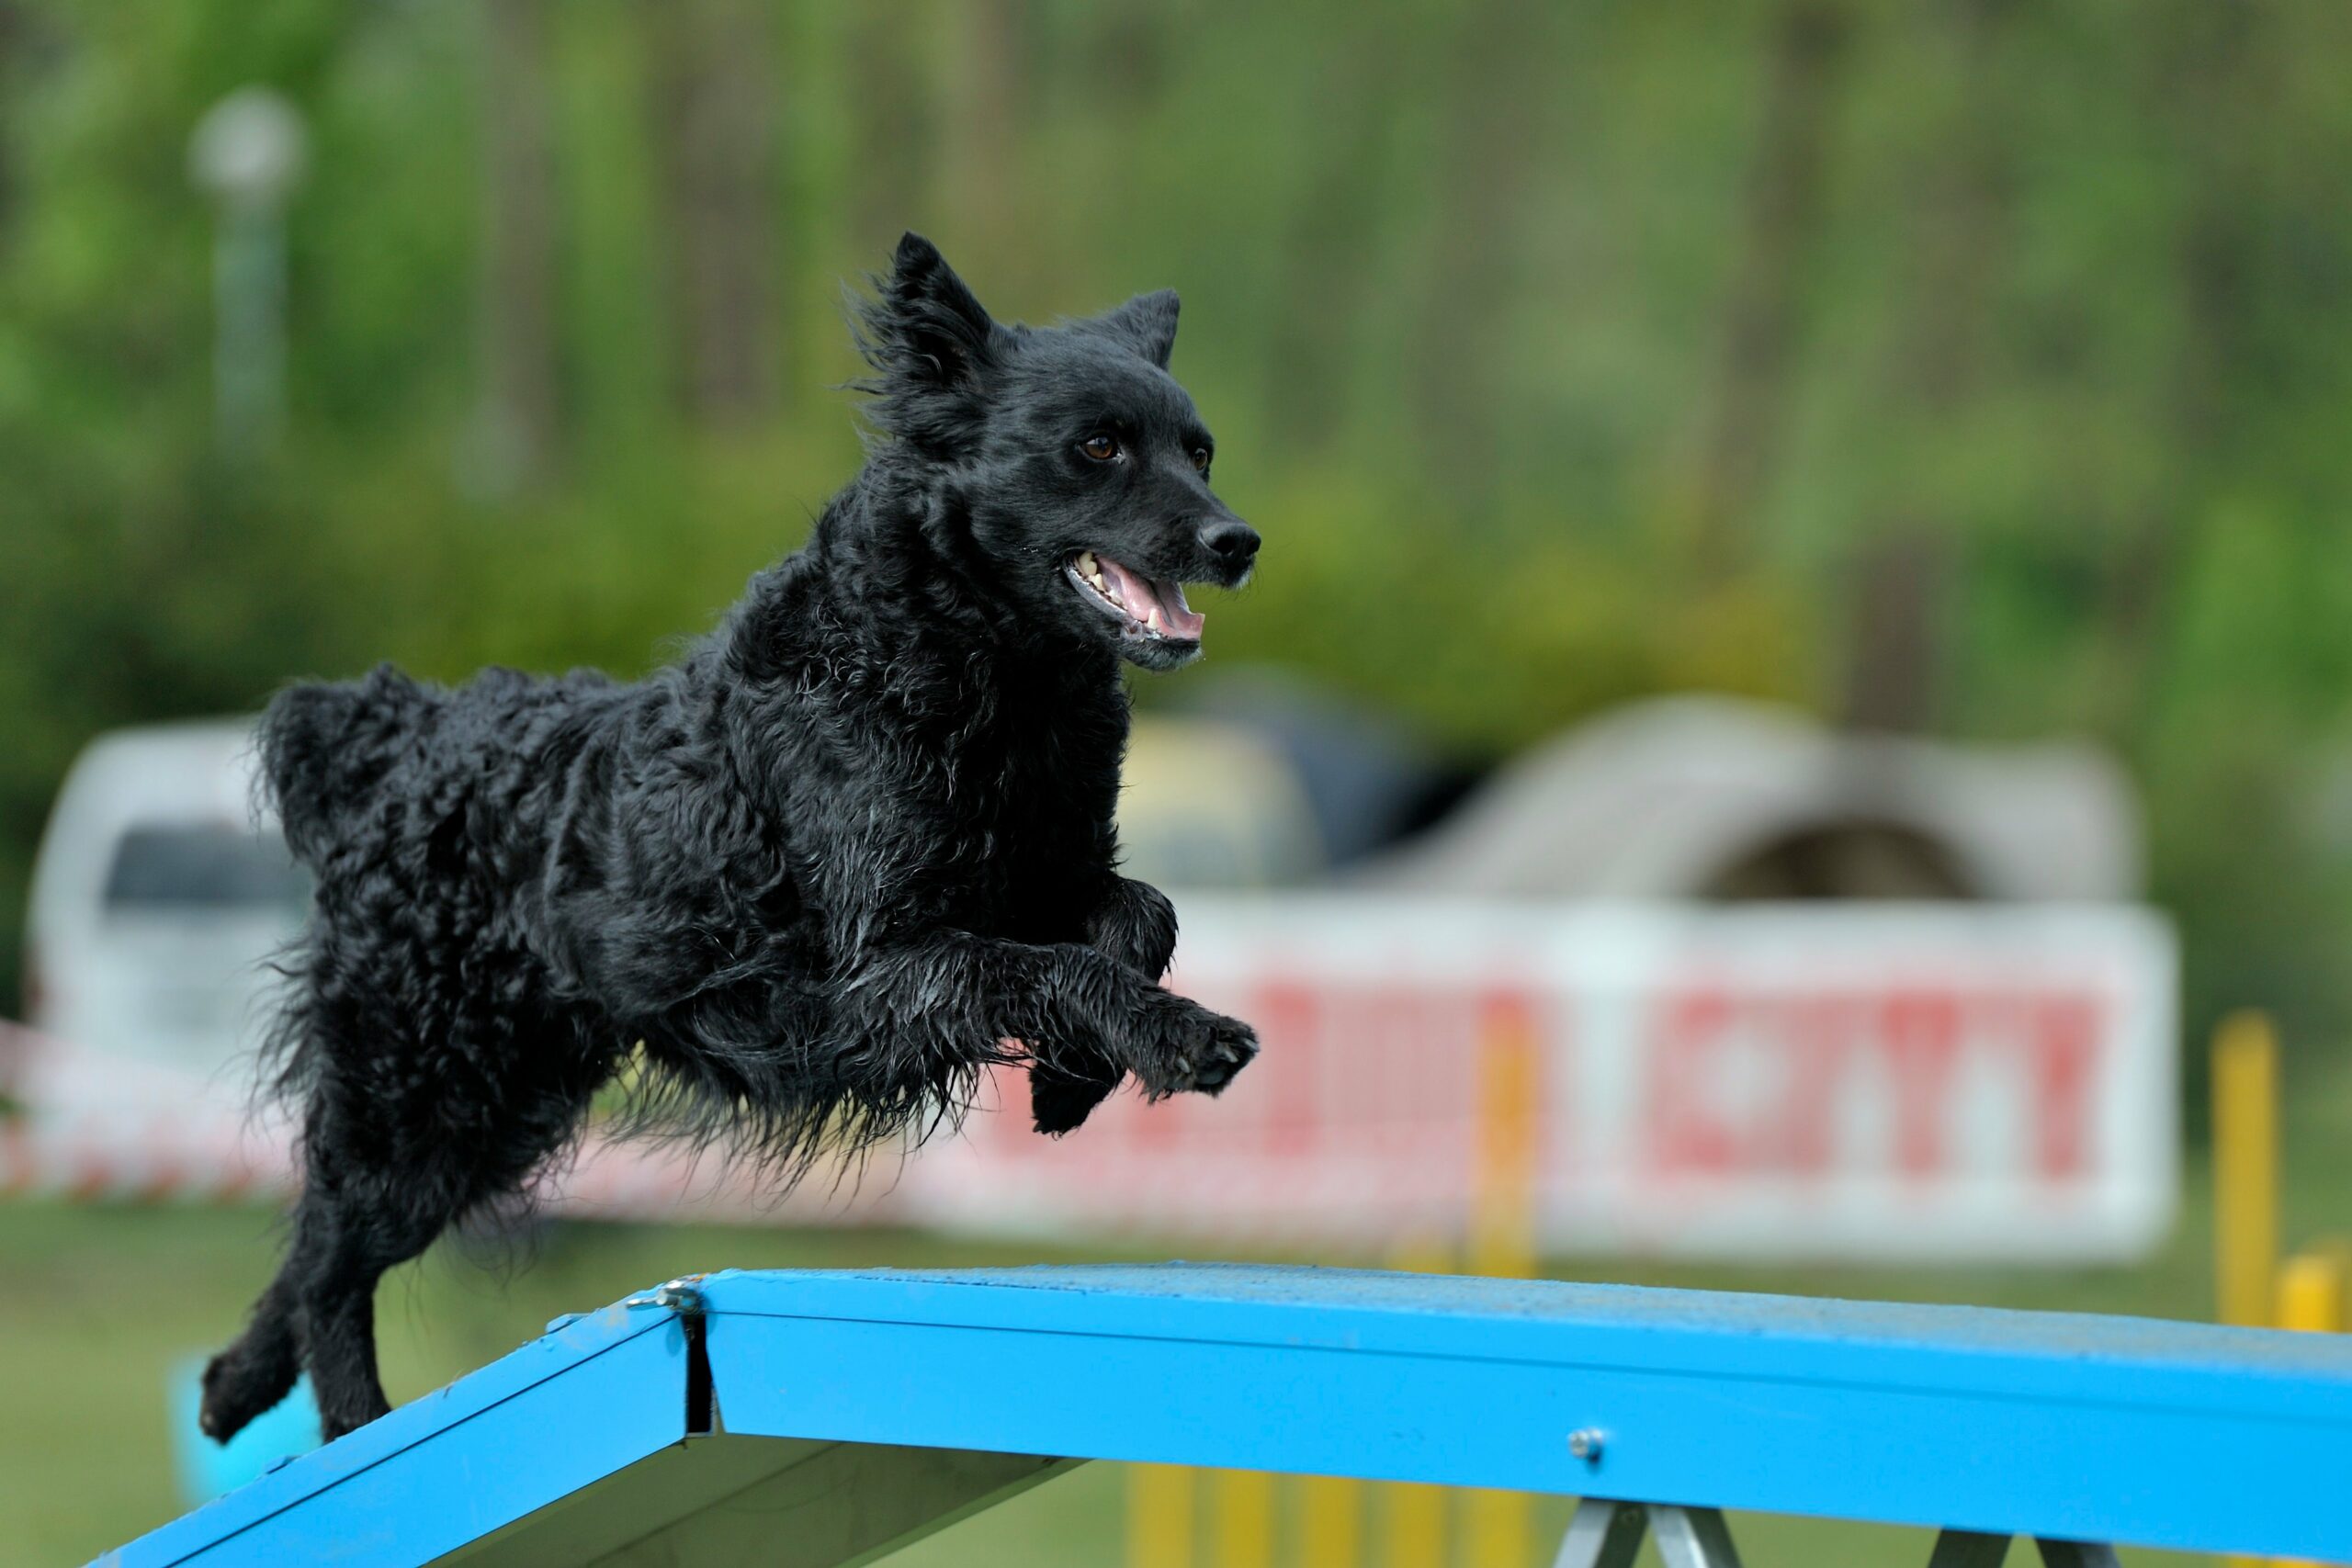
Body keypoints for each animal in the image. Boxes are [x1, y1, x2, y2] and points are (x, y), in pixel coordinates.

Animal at [199, 232, 1261, 1448]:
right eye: (1098, 446)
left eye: (1200, 451)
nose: (1237, 539)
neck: (972, 668)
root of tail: (401, 731)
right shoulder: (885, 963)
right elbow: (1052, 970)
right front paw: (1178, 1039)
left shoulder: (1044, 880)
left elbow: (1137, 915)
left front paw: (1070, 1086)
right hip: (423, 1082)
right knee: (335, 1253)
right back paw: (354, 1427)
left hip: (495, 1107)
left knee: (321, 1234)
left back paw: (234, 1386)